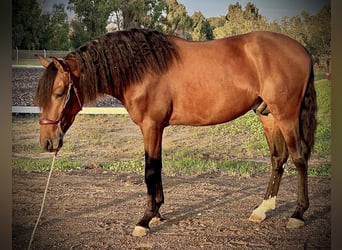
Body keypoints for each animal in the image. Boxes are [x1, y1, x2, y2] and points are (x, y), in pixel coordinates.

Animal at [35, 28, 318, 237]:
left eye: (59, 93)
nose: (47, 142)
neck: (141, 68)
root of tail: (303, 51)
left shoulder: (151, 125)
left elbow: (150, 170)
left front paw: (145, 219)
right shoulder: (156, 128)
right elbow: (157, 167)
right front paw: (157, 213)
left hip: (286, 115)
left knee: (299, 158)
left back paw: (297, 214)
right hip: (267, 115)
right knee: (278, 159)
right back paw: (262, 209)